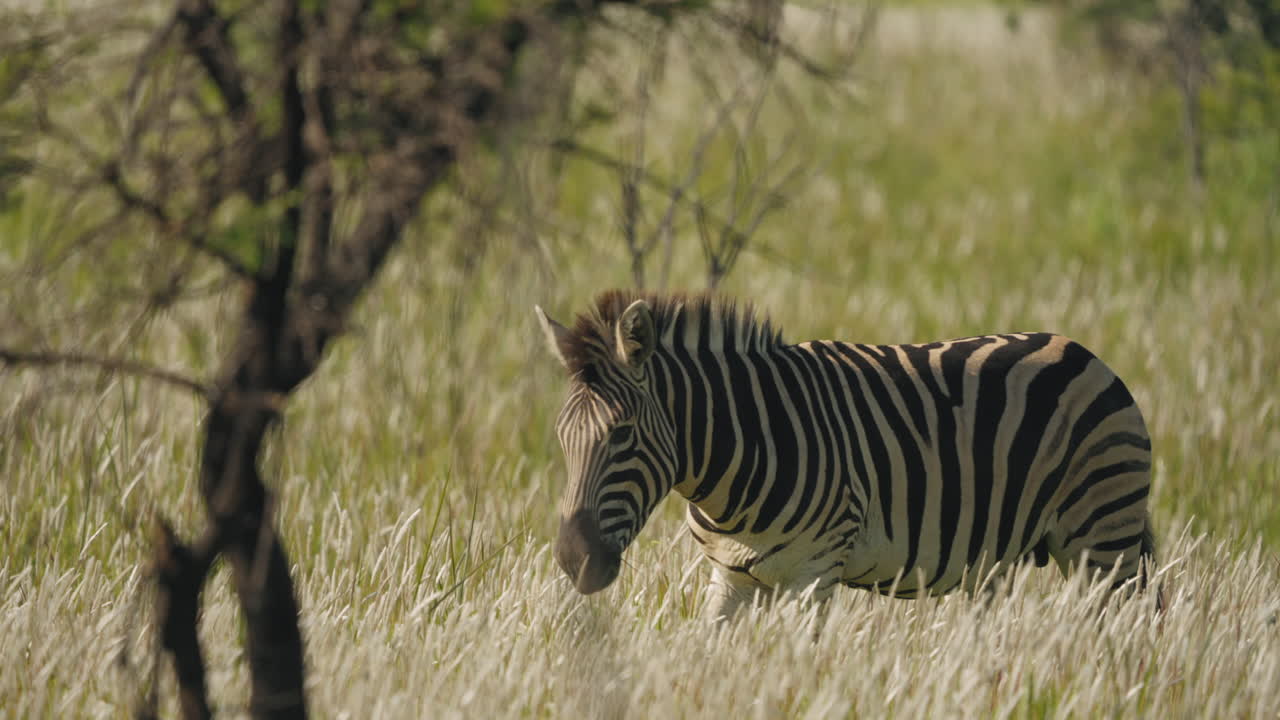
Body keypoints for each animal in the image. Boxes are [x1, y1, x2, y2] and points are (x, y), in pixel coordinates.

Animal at [536, 290, 1157, 619]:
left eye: (622, 435)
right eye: (561, 437)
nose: (573, 561)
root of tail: (1083, 351)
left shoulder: (814, 574)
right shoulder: (729, 578)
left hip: (1103, 540)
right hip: (1009, 555)